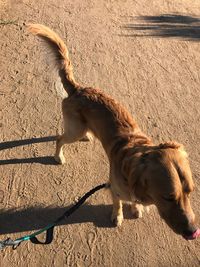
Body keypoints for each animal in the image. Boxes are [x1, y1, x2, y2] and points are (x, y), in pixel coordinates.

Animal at [27, 23, 198, 241]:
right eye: (168, 197)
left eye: (190, 192)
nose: (193, 232)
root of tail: (78, 89)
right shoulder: (114, 188)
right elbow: (117, 204)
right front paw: (118, 216)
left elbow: (133, 201)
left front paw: (136, 208)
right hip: (74, 130)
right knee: (59, 138)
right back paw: (59, 157)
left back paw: (88, 135)